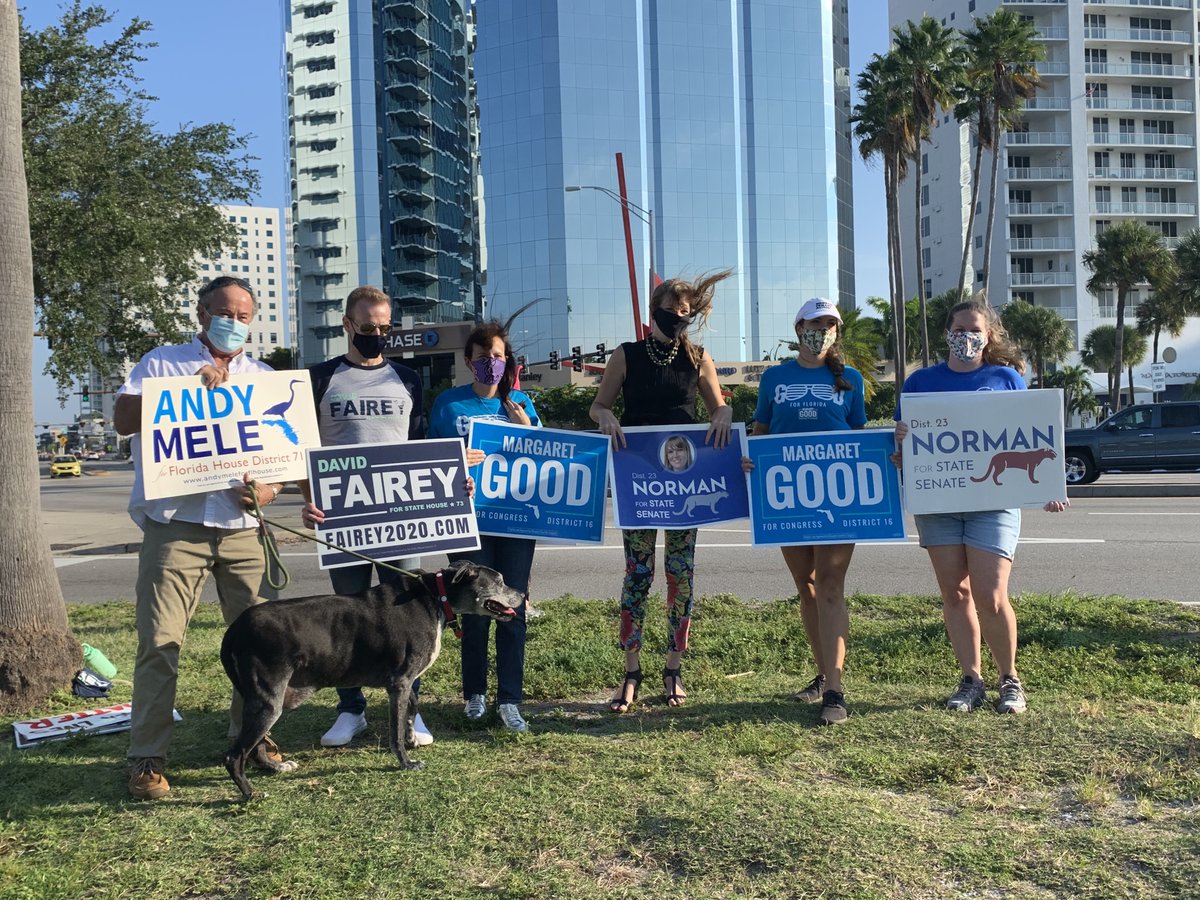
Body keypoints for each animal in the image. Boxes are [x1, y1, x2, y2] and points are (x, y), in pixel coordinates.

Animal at [222, 561, 520, 801]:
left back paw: (275, 767)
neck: (436, 595)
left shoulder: (405, 682)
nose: (522, 595)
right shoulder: (399, 683)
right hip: (268, 701)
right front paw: (405, 762)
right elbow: (394, 731)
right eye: (499, 581)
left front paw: (412, 737)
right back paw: (250, 794)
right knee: (234, 755)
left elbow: (411, 709)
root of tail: (235, 629)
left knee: (255, 748)